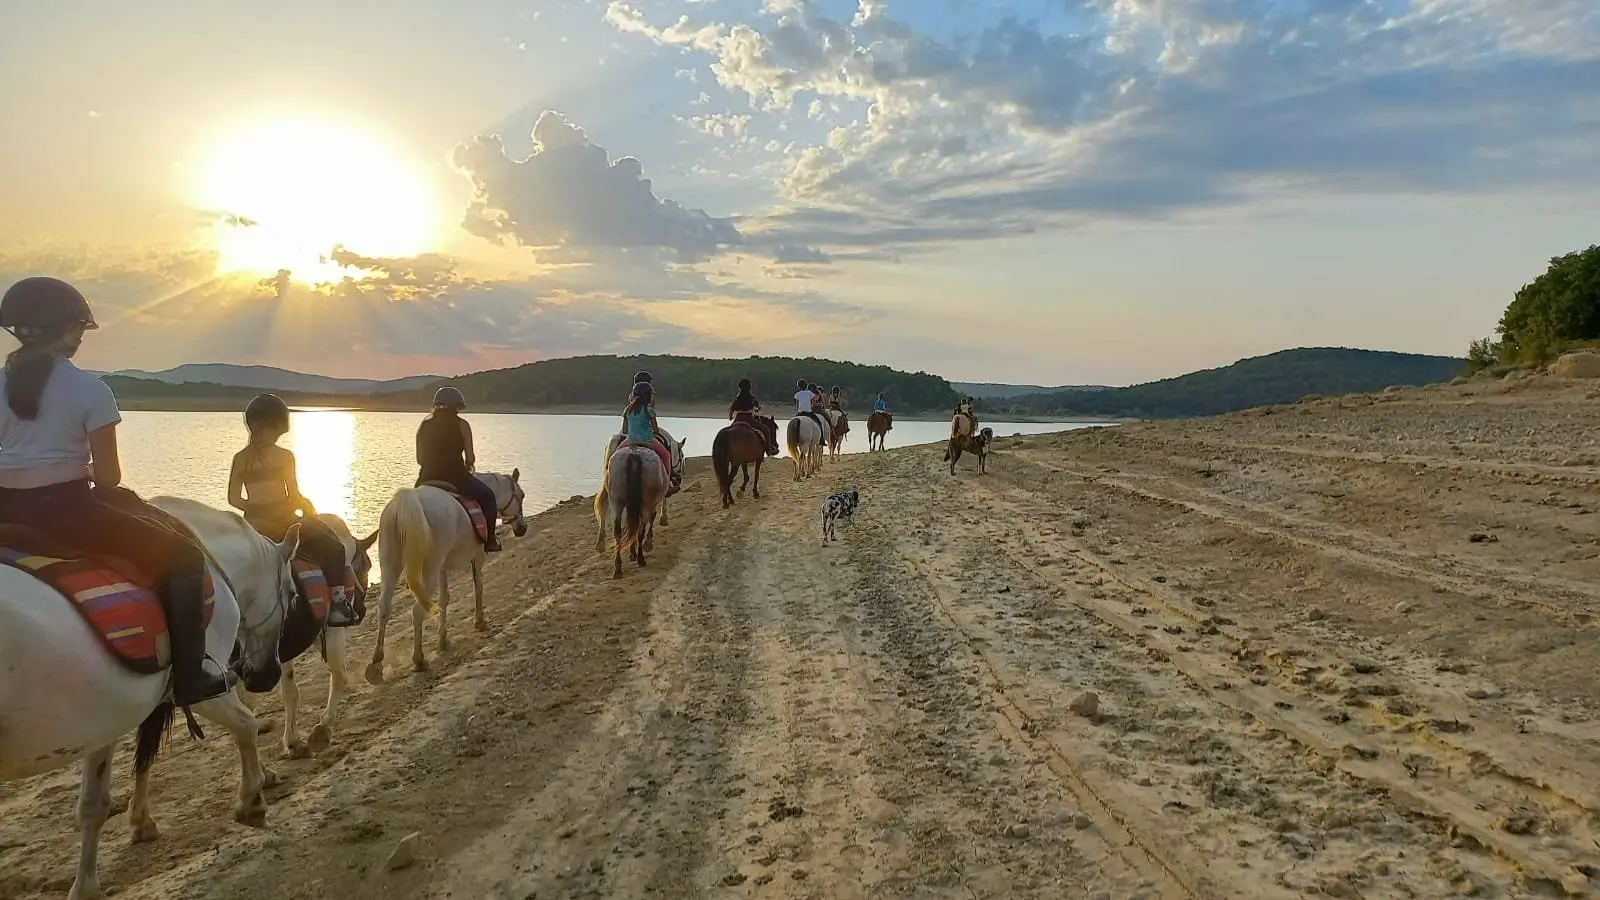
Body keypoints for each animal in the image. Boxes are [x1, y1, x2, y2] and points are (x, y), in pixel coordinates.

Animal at [0, 496, 302, 896]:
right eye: (292, 594)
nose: (266, 675)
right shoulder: (204, 691)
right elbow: (246, 725)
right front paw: (252, 800)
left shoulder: (106, 722)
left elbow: (95, 804)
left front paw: (87, 886)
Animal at [275, 512, 377, 755]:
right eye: (367, 566)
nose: (361, 611)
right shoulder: (330, 631)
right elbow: (340, 677)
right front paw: (319, 730)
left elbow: (290, 690)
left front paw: (293, 741)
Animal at [366, 470, 528, 679]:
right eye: (521, 495)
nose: (522, 528)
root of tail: (406, 503)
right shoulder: (477, 554)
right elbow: (478, 585)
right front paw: (480, 621)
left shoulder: (442, 567)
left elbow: (445, 598)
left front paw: (443, 639)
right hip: (428, 568)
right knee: (417, 610)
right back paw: (419, 660)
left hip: (390, 565)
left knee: (384, 608)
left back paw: (376, 662)